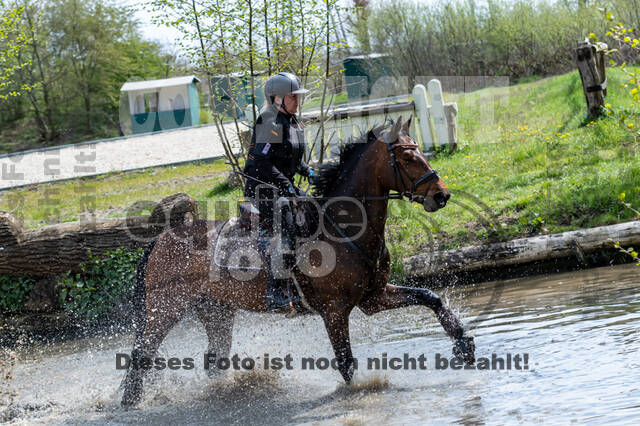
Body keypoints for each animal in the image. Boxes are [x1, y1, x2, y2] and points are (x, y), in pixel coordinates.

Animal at [122, 115, 478, 406]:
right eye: (407, 157)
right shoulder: (334, 311)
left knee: (213, 358)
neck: (344, 228)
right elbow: (346, 362)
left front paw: (464, 345)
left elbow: (430, 297)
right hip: (166, 308)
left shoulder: (373, 297)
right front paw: (359, 392)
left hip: (216, 310)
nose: (441, 195)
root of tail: (160, 239)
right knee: (141, 353)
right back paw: (130, 402)